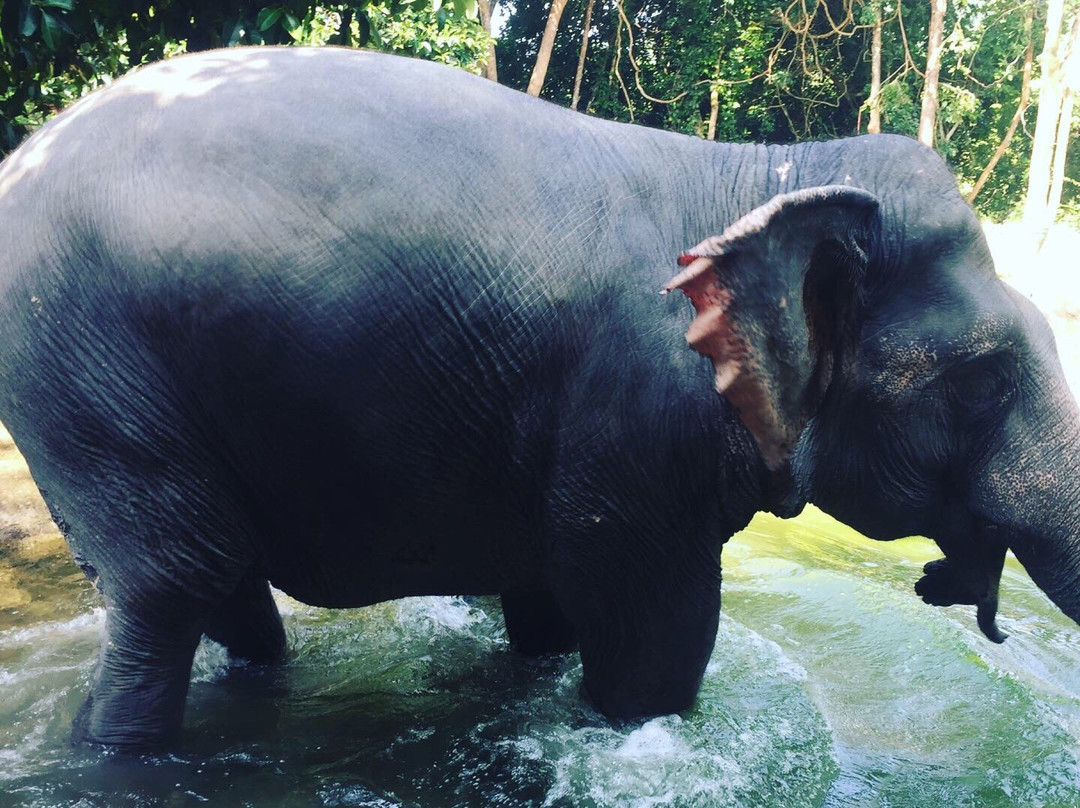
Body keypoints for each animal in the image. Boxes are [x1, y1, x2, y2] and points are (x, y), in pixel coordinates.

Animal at [0, 46, 1077, 750]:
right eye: (985, 380)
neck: (767, 172)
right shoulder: (639, 434)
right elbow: (652, 642)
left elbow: (549, 609)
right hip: (85, 380)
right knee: (168, 588)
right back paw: (110, 750)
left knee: (223, 594)